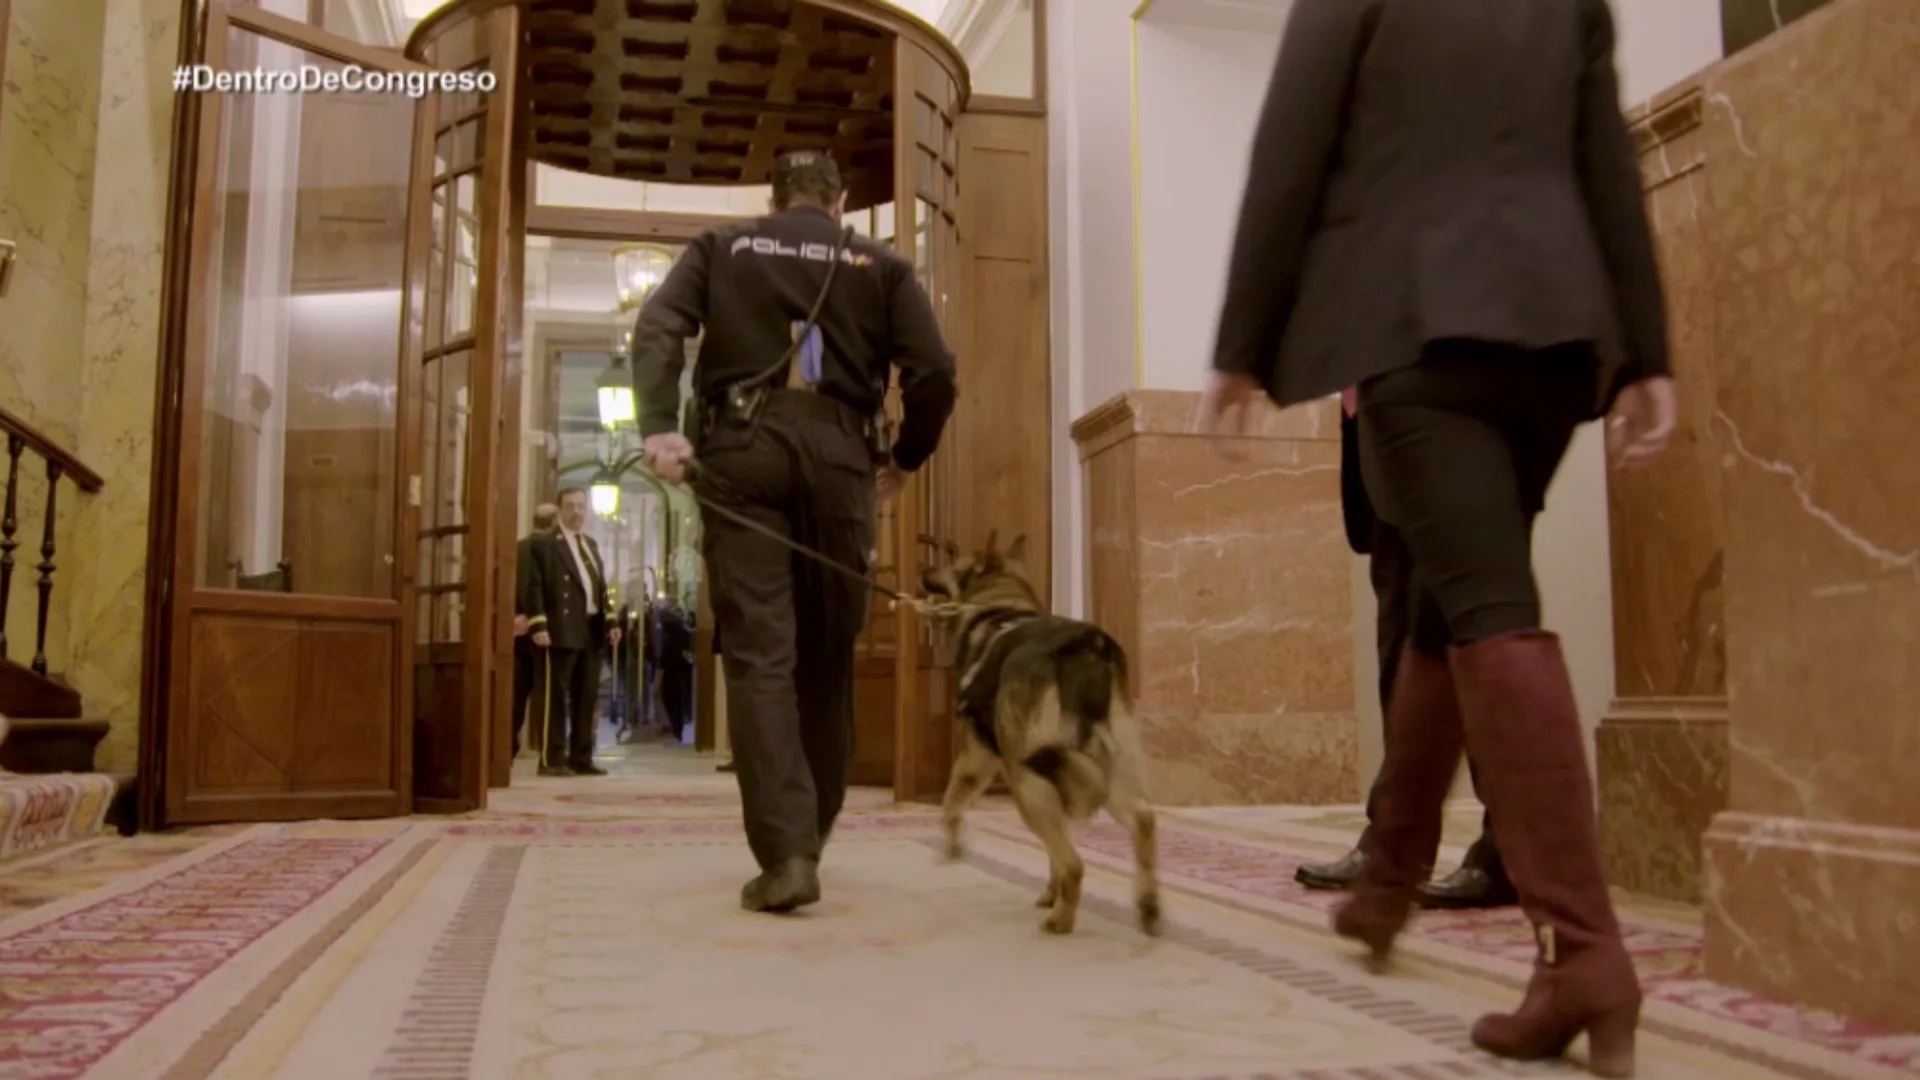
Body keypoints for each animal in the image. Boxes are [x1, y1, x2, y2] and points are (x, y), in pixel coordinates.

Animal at [921, 530, 1159, 933]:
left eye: (952, 565)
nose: (923, 570)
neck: (998, 602)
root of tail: (1085, 647)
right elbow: (1052, 853)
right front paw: (1051, 891)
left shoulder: (977, 760)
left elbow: (951, 801)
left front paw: (952, 845)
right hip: (1100, 765)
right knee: (1142, 820)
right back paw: (1147, 906)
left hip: (1027, 780)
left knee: (1075, 863)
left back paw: (1062, 920)